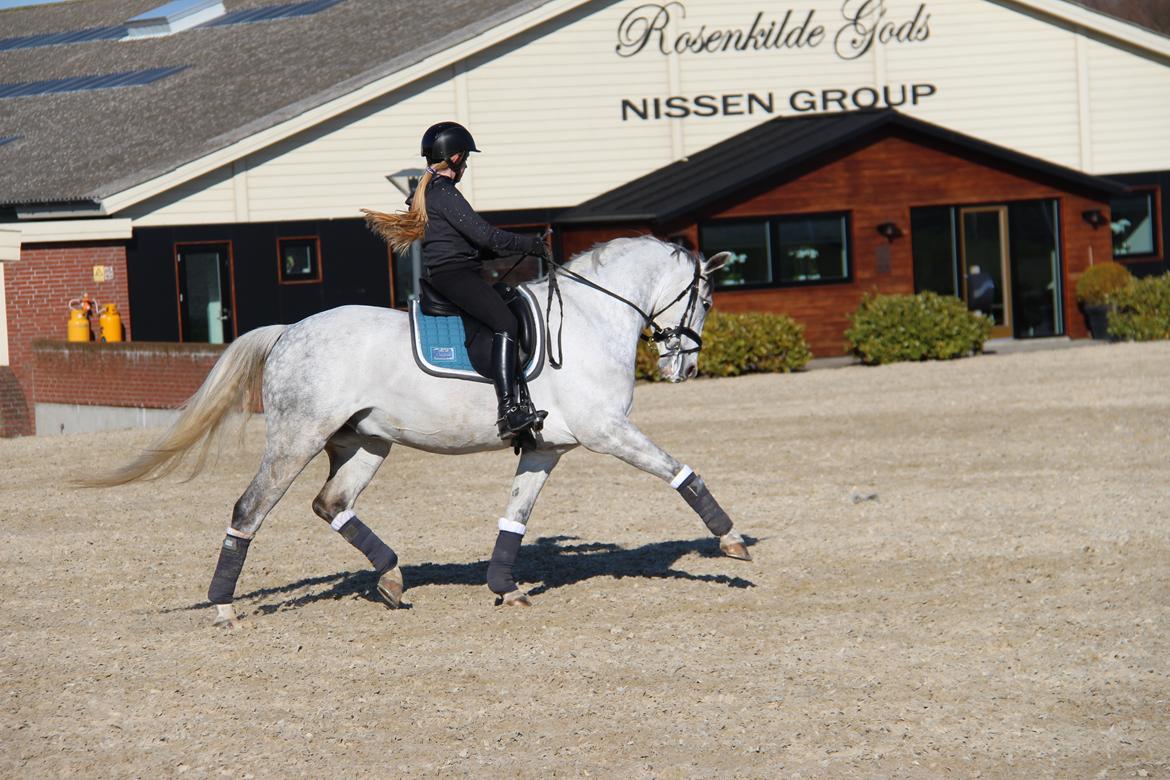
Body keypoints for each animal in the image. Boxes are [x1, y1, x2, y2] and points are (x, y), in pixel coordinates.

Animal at [93, 238, 748, 626]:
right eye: (708, 300)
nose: (686, 369)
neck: (588, 319)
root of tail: (289, 331)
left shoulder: (548, 448)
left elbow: (516, 515)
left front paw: (504, 586)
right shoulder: (607, 430)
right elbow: (679, 471)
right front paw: (731, 542)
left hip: (366, 442)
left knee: (330, 502)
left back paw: (390, 576)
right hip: (296, 439)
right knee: (250, 509)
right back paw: (225, 609)